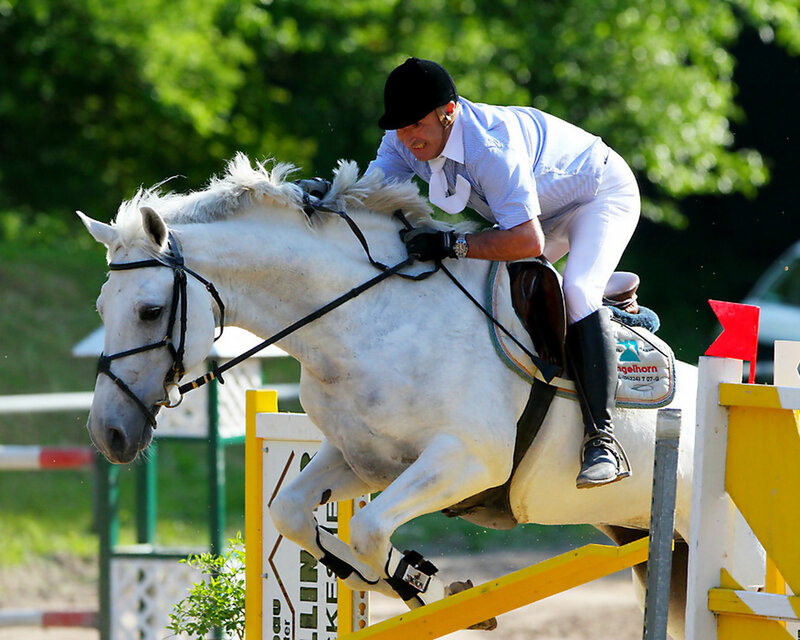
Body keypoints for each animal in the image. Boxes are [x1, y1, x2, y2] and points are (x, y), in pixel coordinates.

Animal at [79, 154, 700, 637]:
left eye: (150, 310)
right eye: (101, 308)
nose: (110, 435)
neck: (368, 319)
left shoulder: (468, 459)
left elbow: (370, 528)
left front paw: (421, 583)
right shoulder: (361, 458)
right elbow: (295, 515)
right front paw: (401, 580)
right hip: (649, 541)